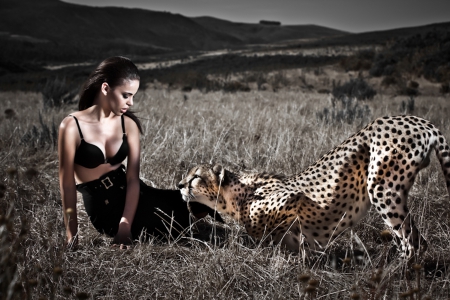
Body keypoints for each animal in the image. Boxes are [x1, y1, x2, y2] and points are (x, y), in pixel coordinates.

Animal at [179, 115, 450, 258]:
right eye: (185, 176)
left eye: (195, 177)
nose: (179, 184)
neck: (235, 196)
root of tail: (415, 120)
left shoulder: (293, 198)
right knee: (417, 240)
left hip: (382, 188)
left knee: (413, 242)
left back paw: (397, 272)